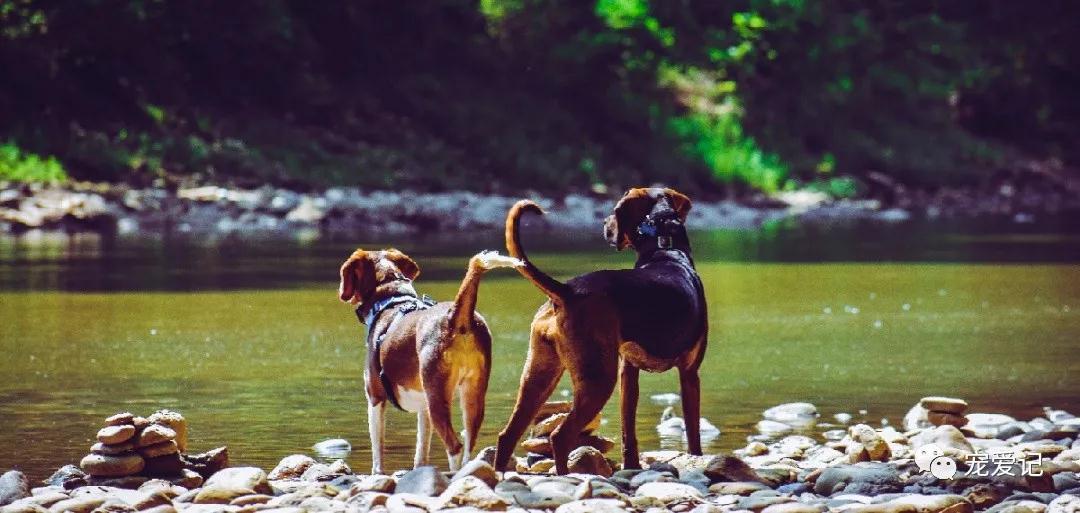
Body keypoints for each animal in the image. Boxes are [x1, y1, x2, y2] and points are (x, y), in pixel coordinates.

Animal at [339, 249, 520, 473]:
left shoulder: (375, 397)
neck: (391, 300)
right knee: (469, 444)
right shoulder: (423, 408)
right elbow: (421, 449)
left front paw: (378, 473)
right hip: (473, 396)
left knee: (455, 447)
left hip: (437, 399)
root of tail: (455, 316)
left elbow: (378, 449)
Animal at [492, 187, 708, 473]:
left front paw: (631, 466)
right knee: (559, 436)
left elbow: (628, 432)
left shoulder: (628, 372)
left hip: (538, 375)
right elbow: (693, 432)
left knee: (507, 435)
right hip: (598, 380)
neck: (667, 249)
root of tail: (567, 291)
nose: (604, 224)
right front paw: (696, 459)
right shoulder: (690, 373)